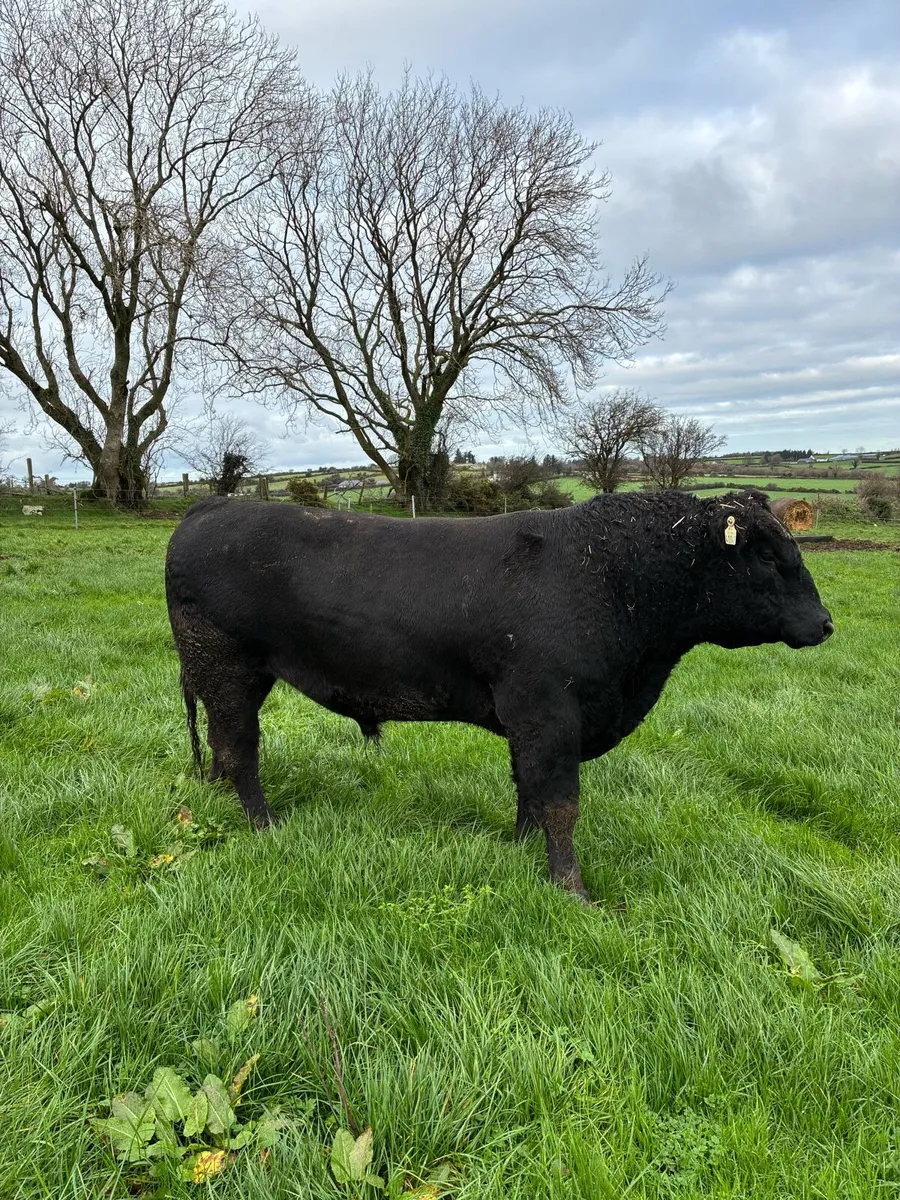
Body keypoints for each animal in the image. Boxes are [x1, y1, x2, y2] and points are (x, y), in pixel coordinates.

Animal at [165, 489, 833, 901]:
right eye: (766, 555)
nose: (825, 623)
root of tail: (211, 506)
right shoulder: (549, 712)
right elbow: (560, 803)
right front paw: (571, 889)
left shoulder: (529, 719)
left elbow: (528, 792)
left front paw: (518, 849)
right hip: (227, 666)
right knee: (240, 750)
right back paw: (265, 825)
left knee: (223, 748)